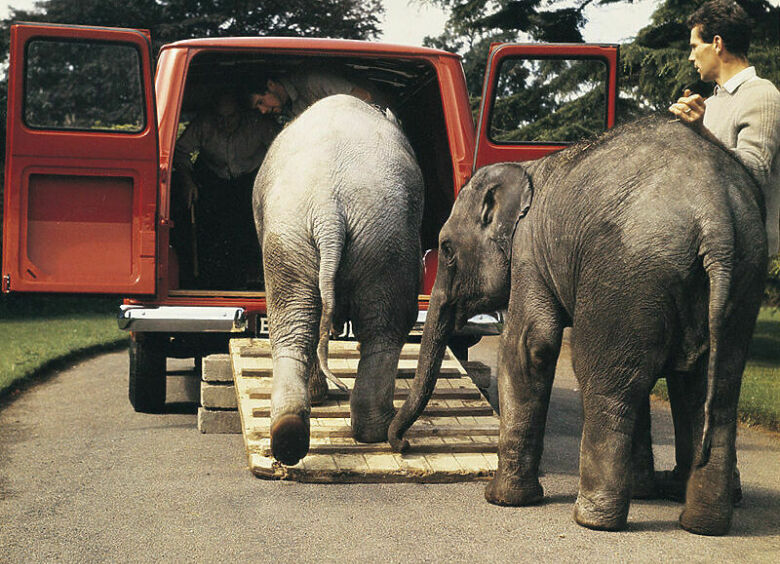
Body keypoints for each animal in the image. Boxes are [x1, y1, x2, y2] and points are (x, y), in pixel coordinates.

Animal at [253, 96, 424, 468]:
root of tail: (329, 208)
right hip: (379, 238)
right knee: (383, 327)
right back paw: (372, 428)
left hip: (299, 239)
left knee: (296, 323)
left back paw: (291, 434)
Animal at [386, 114, 764, 532]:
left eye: (447, 250)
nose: (402, 445)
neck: (527, 170)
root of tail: (716, 218)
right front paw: (644, 492)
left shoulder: (529, 253)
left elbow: (528, 347)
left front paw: (501, 500)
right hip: (740, 279)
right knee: (712, 392)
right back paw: (701, 523)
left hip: (627, 275)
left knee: (605, 381)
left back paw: (593, 519)